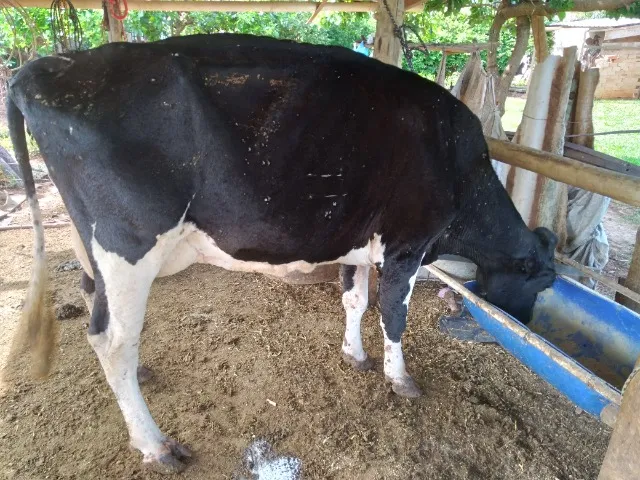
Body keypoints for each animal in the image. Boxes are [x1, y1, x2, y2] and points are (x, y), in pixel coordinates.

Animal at [7, 33, 557, 474]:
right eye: (544, 282)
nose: (528, 323)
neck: (458, 162)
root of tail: (44, 68)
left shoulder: (358, 242)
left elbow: (355, 300)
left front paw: (354, 354)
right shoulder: (408, 241)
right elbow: (393, 313)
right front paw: (400, 379)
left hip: (91, 245)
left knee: (94, 302)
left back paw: (139, 380)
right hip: (128, 243)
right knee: (112, 338)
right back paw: (156, 445)